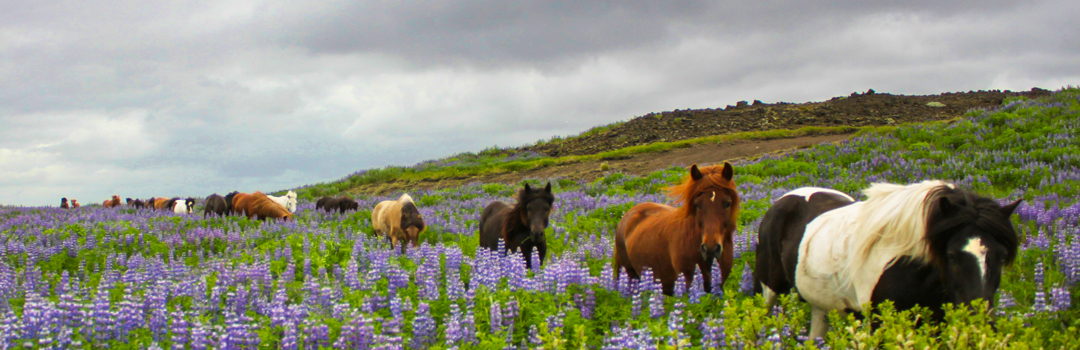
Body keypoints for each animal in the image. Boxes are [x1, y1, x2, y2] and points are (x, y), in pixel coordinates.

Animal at [751, 181, 1019, 341]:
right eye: (951, 255)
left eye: (1001, 256)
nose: (981, 325)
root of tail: (783, 199)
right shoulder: (880, 322)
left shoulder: (935, 322)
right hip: (771, 289)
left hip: (821, 303)